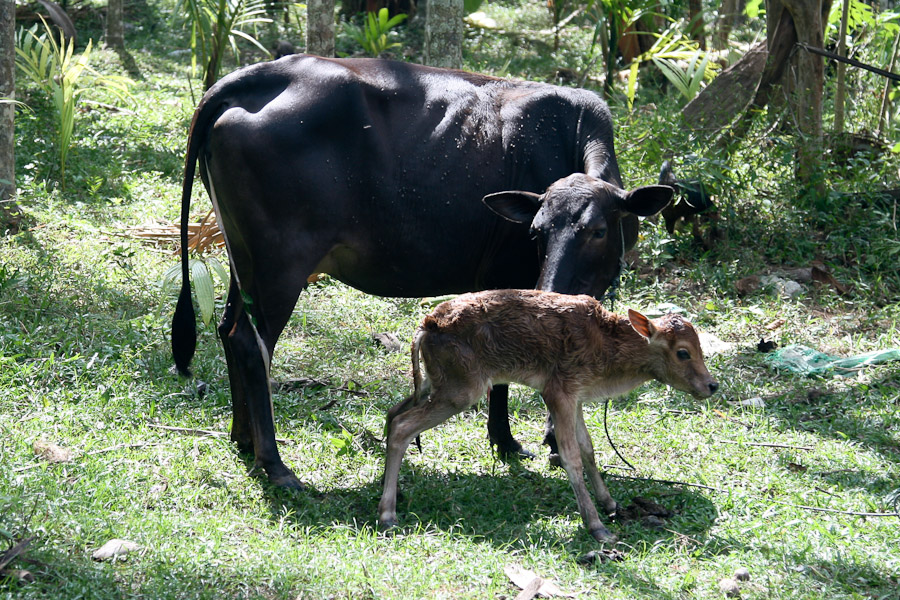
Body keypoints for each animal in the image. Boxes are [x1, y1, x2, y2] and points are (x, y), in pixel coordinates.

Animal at [172, 54, 672, 490]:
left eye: (599, 230)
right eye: (536, 231)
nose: (550, 286)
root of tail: (261, 73)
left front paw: (529, 441)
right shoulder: (507, 278)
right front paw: (514, 441)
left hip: (244, 259)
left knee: (228, 328)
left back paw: (242, 438)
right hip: (281, 265)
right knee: (250, 342)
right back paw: (274, 463)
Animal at [376, 290, 720, 544]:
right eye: (683, 352)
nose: (711, 385)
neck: (608, 351)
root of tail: (425, 326)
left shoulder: (576, 397)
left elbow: (588, 448)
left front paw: (610, 503)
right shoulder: (558, 391)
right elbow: (570, 455)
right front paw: (597, 527)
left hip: (433, 384)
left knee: (393, 414)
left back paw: (392, 491)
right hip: (460, 390)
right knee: (403, 427)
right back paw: (387, 515)